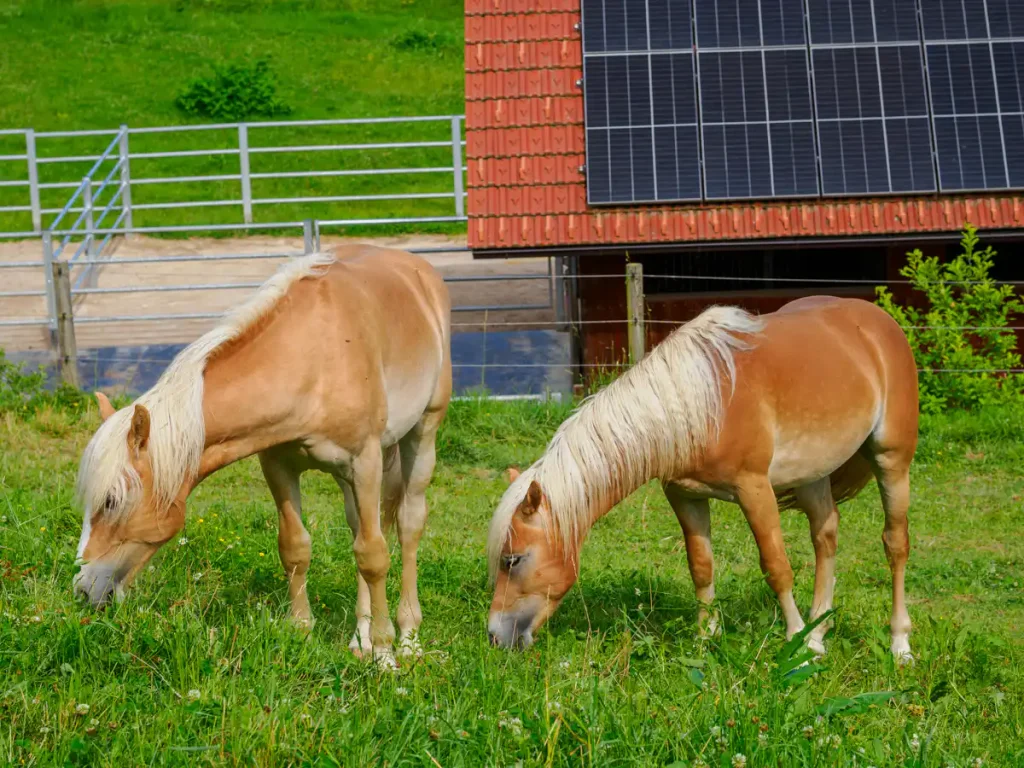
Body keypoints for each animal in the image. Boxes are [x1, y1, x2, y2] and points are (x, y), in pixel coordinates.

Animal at [74, 245, 452, 666]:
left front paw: (385, 655)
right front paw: (303, 632)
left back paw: (408, 637)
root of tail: (415, 266)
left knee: (407, 526)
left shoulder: (363, 461)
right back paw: (360, 637)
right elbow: (296, 547)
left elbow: (373, 556)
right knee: (362, 526)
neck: (312, 358)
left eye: (111, 500)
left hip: (421, 436)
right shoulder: (279, 465)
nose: (83, 589)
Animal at [487, 296, 919, 662]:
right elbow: (701, 565)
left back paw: (899, 644)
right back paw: (817, 634)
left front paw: (794, 642)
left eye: (512, 559)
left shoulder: (754, 490)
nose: (495, 636)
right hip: (813, 473)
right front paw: (706, 636)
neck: (698, 405)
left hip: (892, 462)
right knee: (825, 537)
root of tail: (880, 323)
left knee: (895, 545)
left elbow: (776, 566)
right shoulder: (684, 496)